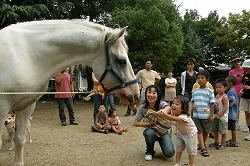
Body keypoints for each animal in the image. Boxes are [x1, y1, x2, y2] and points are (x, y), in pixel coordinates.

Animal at [0, 19, 140, 165]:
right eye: (122, 61)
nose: (135, 94)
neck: (26, 56)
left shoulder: (26, 108)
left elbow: (20, 140)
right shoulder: (2, 108)